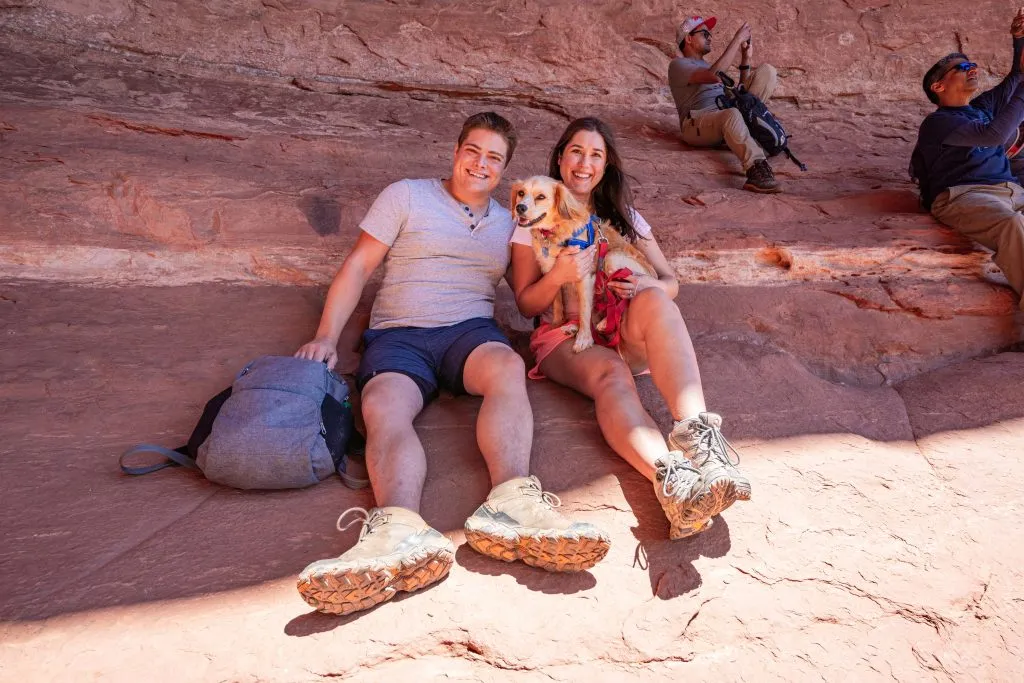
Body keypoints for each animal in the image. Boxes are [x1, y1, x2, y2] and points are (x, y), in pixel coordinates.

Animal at [512, 174, 655, 356]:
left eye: (541, 197)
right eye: (521, 193)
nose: (519, 207)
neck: (555, 232)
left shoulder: (585, 275)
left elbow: (584, 309)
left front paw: (584, 339)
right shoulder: (551, 272)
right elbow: (557, 303)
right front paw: (557, 323)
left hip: (612, 259)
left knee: (624, 299)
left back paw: (603, 322)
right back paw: (574, 327)